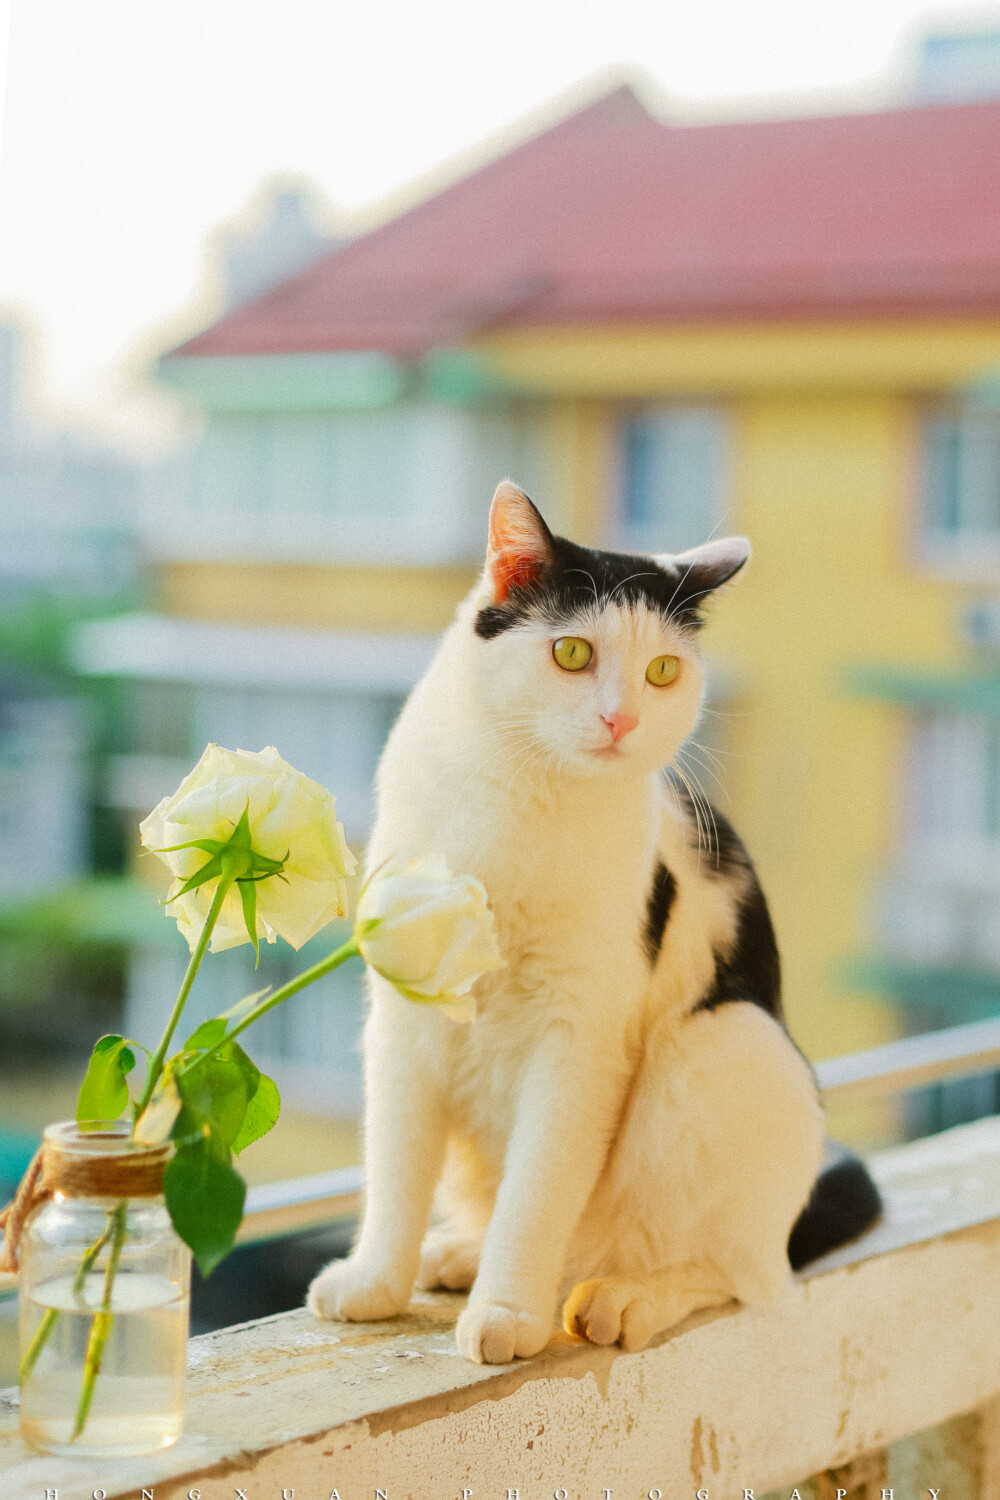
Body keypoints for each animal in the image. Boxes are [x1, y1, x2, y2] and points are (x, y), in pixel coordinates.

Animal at [308, 477, 881, 1362]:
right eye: (572, 654)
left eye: (663, 670)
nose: (622, 720)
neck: (523, 797)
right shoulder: (405, 1017)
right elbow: (397, 1167)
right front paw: (376, 1282)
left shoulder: (578, 1037)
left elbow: (540, 1189)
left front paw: (508, 1314)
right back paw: (460, 1254)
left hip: (724, 1045)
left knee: (739, 1272)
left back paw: (622, 1297)